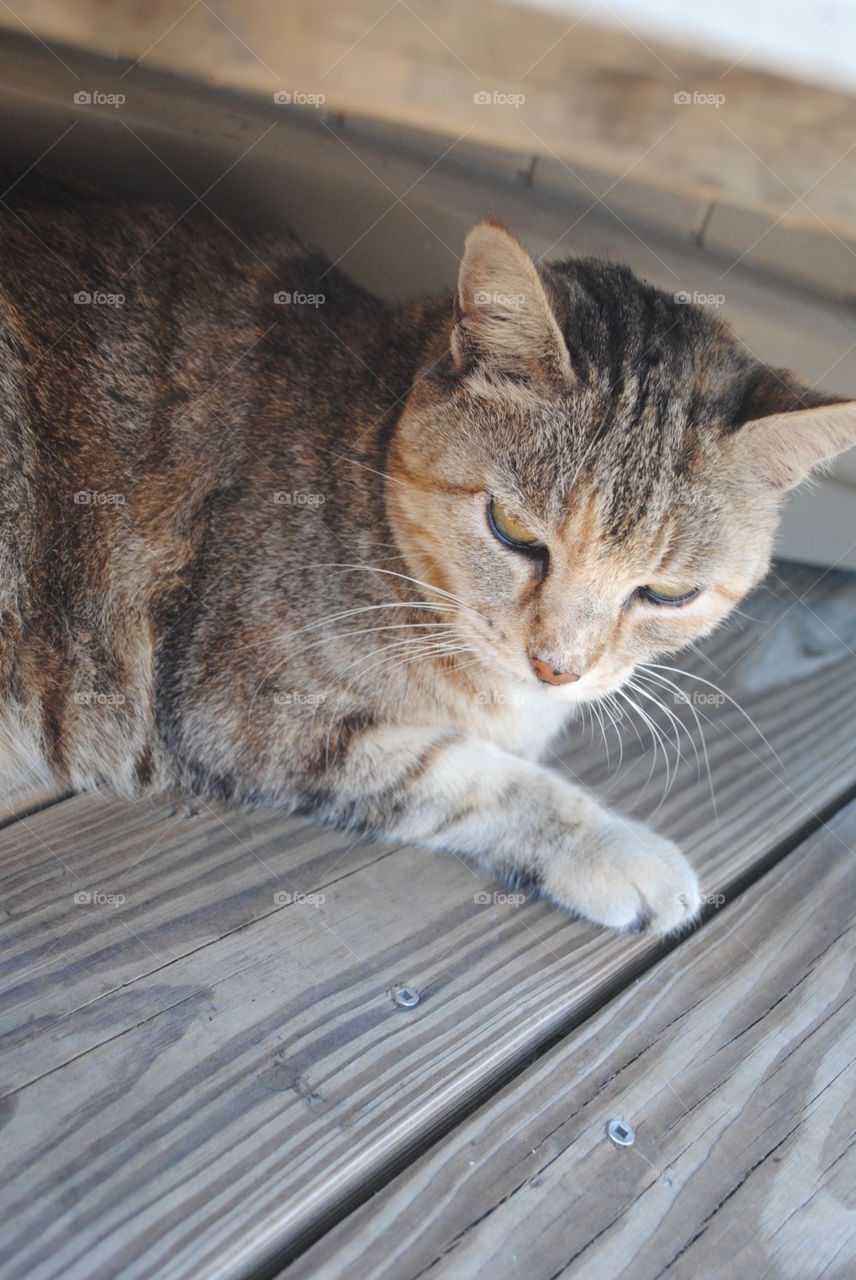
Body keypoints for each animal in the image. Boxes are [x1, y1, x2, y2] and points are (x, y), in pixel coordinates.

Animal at [0, 170, 849, 931]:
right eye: (513, 530)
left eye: (669, 595)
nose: (556, 668)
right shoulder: (241, 706)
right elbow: (471, 775)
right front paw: (615, 848)